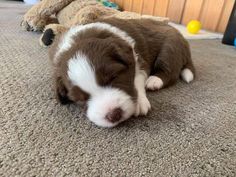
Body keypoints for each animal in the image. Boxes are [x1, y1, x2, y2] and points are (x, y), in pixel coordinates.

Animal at [46, 18, 195, 127]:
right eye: (80, 98)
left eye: (114, 77)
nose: (113, 115)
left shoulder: (139, 60)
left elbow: (137, 79)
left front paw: (140, 102)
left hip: (170, 48)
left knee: (170, 71)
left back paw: (154, 81)